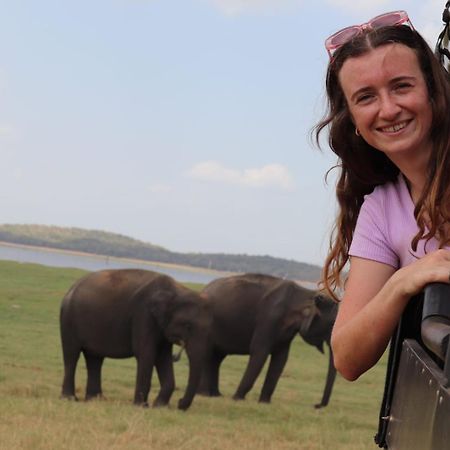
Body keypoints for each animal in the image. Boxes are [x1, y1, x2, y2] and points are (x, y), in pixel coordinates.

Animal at [59, 268, 211, 410]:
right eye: (188, 326)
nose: (179, 403)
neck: (177, 290)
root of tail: (71, 289)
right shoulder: (144, 315)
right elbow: (146, 354)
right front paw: (141, 406)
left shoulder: (160, 327)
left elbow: (163, 358)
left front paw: (160, 406)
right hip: (68, 319)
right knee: (72, 355)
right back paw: (70, 398)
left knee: (95, 359)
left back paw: (95, 399)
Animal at [197, 274, 338, 408]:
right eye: (332, 324)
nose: (316, 405)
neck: (306, 293)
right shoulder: (268, 319)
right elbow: (260, 353)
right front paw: (237, 399)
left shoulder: (287, 333)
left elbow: (281, 359)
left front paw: (264, 403)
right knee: (208, 354)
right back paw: (204, 394)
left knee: (217, 358)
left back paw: (215, 395)